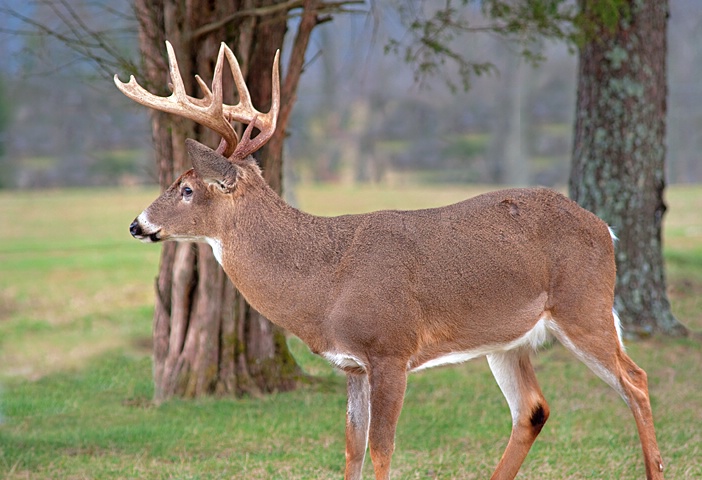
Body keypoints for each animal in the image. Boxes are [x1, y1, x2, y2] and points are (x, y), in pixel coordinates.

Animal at [115, 41, 664, 480]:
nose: (137, 224)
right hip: (508, 339)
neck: (325, 283)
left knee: (635, 381)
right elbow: (351, 450)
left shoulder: (391, 348)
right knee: (533, 409)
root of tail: (605, 228)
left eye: (187, 188)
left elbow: (382, 450)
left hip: (584, 304)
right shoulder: (352, 365)